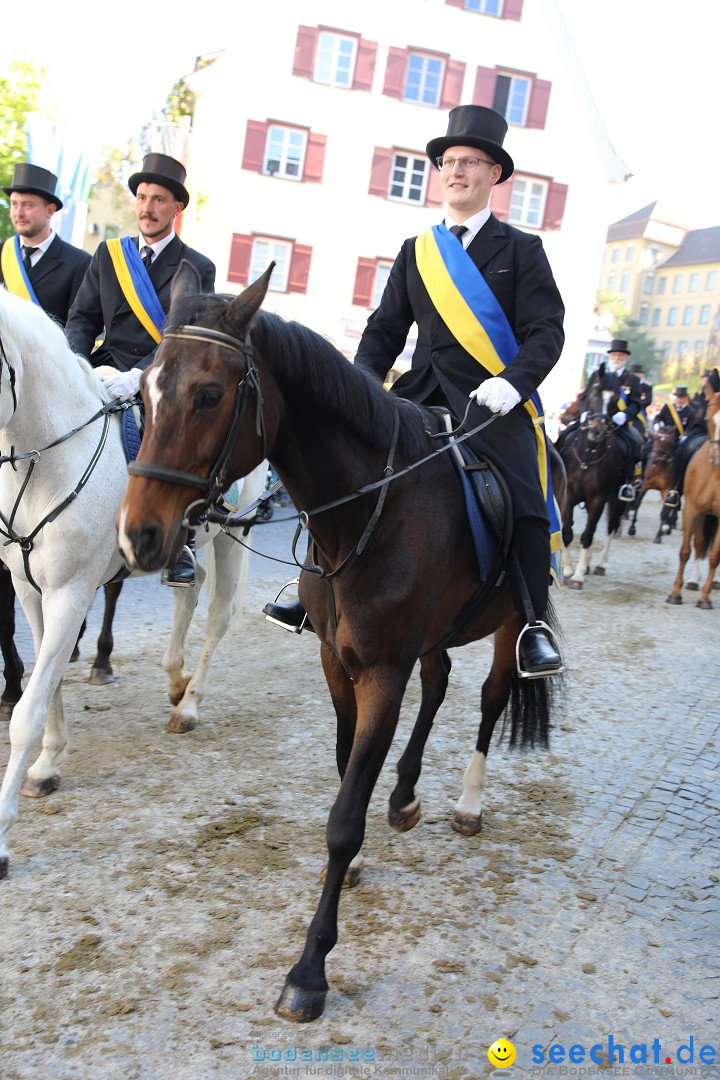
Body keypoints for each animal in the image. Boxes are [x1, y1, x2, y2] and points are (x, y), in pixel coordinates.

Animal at [0, 287, 267, 876]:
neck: (49, 460)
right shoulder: (32, 593)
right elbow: (46, 681)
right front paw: (48, 764)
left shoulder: (71, 593)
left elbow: (28, 709)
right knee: (190, 588)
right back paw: (175, 679)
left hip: (232, 534)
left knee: (219, 615)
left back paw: (189, 706)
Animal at [119, 265, 569, 1023]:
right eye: (146, 392)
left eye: (209, 394)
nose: (138, 536)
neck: (368, 510)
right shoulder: (337, 660)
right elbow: (342, 771)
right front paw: (359, 855)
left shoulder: (383, 670)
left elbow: (343, 817)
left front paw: (309, 970)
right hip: (433, 635)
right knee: (440, 682)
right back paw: (406, 793)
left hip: (510, 623)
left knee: (490, 696)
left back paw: (468, 801)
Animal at [664, 393, 720, 609]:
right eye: (709, 417)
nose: (716, 456)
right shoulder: (692, 509)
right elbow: (685, 551)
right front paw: (675, 593)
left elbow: (714, 556)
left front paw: (705, 598)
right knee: (698, 543)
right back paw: (693, 581)